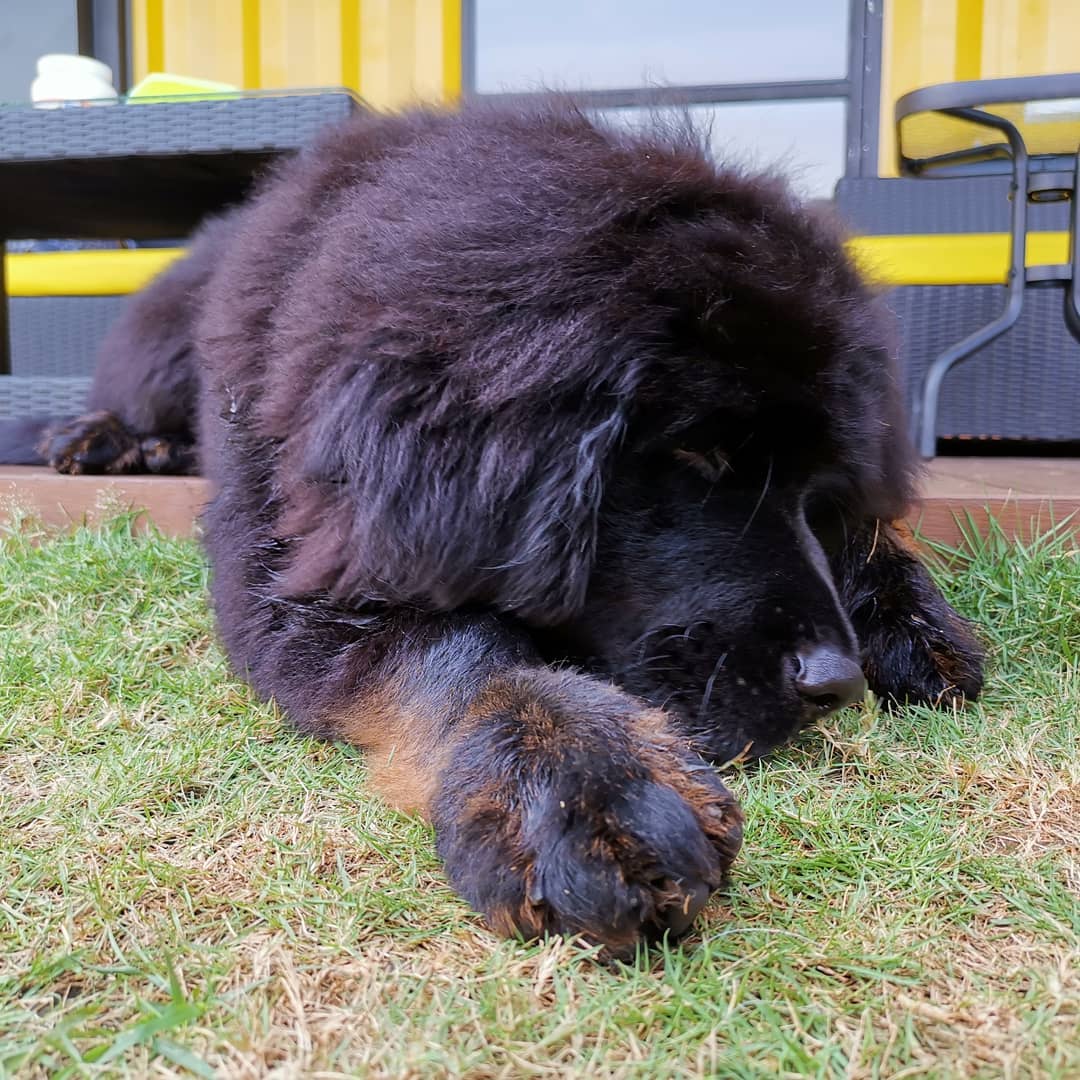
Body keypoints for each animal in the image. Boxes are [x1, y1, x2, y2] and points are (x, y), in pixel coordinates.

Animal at [0, 103, 984, 954]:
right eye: (698, 453)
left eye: (821, 494)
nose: (836, 682)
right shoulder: (294, 555)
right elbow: (465, 653)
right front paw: (581, 777)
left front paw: (911, 619)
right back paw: (102, 439)